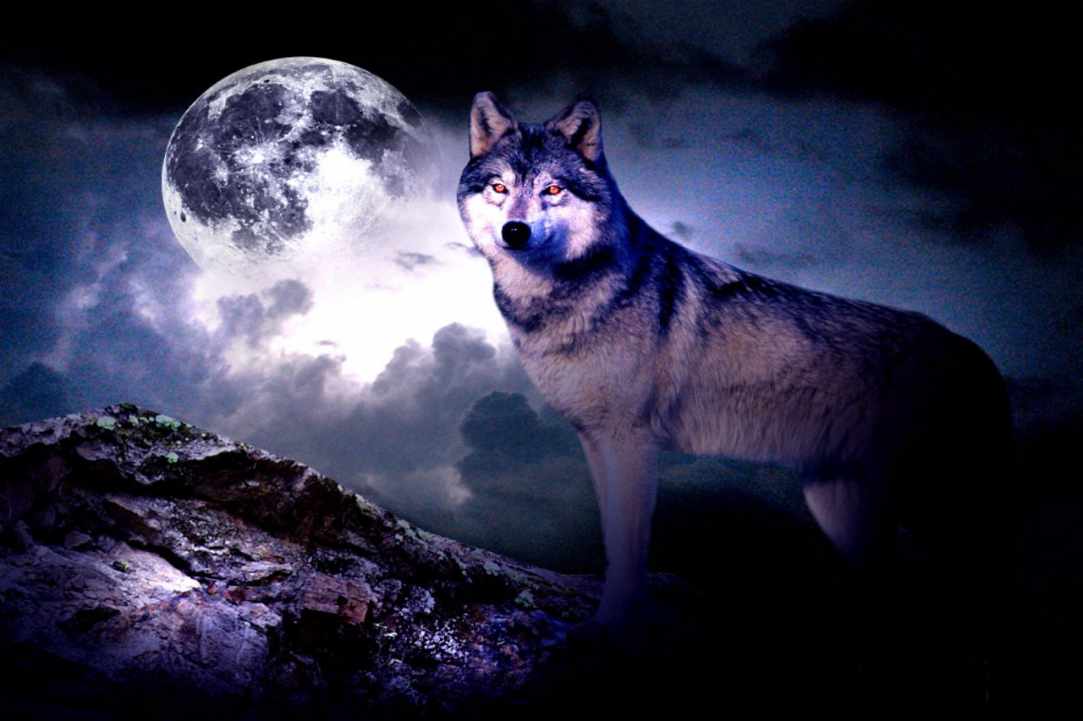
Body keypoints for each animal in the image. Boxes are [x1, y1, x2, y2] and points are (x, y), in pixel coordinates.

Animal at [456, 92, 1014, 640]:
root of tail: (978, 353)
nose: (514, 231)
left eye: (552, 188)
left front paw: (610, 628)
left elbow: (629, 551)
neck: (567, 294)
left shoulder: (630, 442)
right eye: (500, 187)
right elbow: (614, 541)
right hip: (841, 510)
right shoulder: (594, 441)